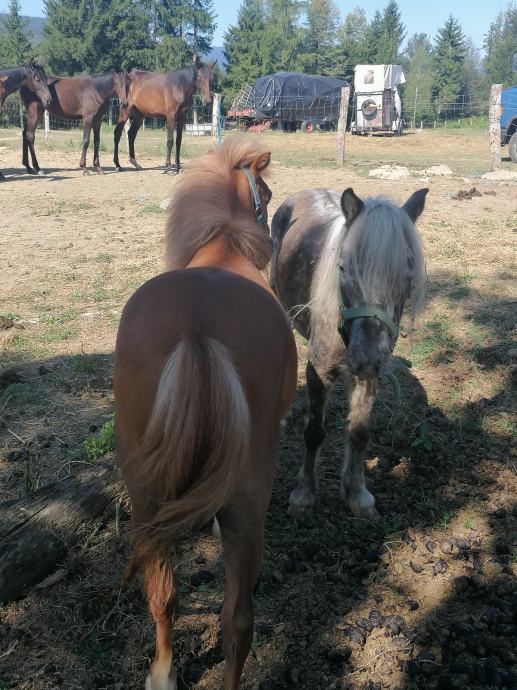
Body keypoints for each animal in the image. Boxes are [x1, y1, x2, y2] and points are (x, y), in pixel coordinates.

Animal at [114, 136, 296, 688]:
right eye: (267, 193)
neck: (224, 247)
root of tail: (197, 331)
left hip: (144, 494)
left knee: (162, 595)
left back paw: (162, 673)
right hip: (250, 496)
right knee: (237, 620)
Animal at [270, 185, 428, 520]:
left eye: (408, 274)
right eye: (343, 267)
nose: (367, 357)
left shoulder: (370, 378)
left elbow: (358, 433)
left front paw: (357, 494)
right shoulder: (318, 371)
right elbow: (314, 432)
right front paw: (303, 496)